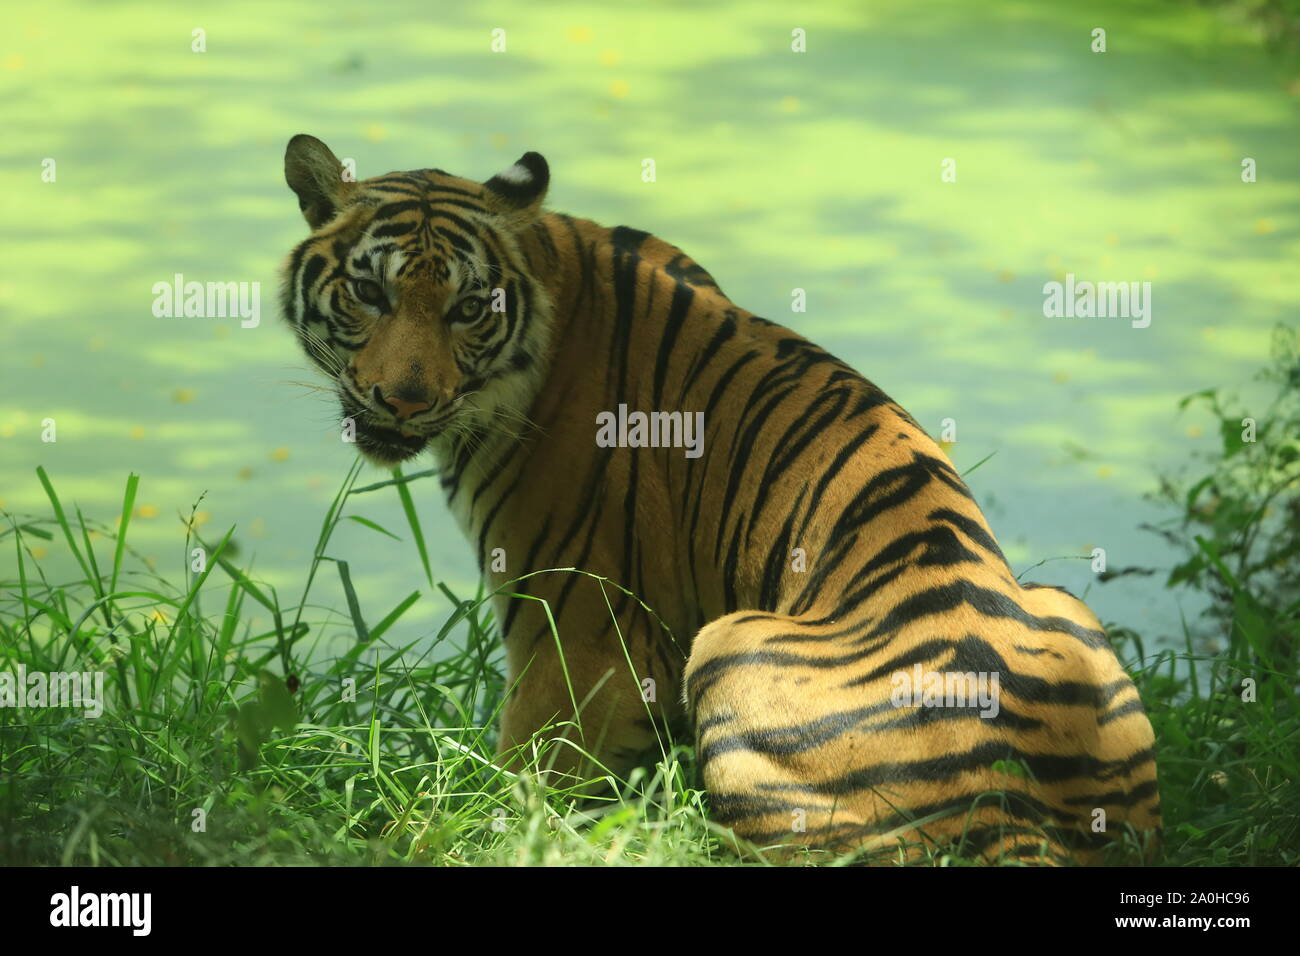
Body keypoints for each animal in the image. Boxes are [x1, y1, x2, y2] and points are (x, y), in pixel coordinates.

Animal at [279, 136, 1164, 868]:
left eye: (468, 308)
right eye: (369, 293)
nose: (406, 400)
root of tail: (1010, 791)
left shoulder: (579, 635)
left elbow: (529, 782)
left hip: (733, 644)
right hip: (1068, 613)